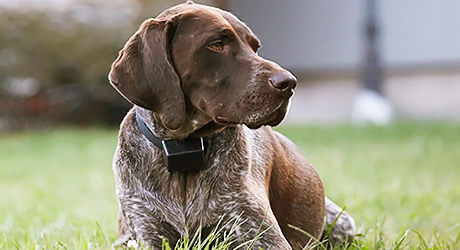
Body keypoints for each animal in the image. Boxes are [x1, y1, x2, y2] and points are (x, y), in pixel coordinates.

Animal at [108, 1, 356, 248]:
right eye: (216, 45)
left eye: (254, 47)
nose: (289, 83)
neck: (185, 150)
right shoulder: (148, 233)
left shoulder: (262, 235)